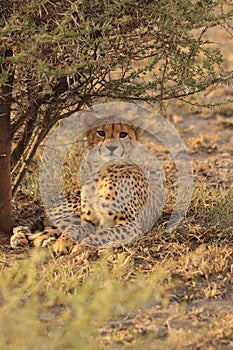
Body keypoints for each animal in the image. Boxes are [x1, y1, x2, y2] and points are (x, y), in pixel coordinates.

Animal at [10, 115, 164, 254]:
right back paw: (26, 238)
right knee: (39, 232)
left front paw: (81, 245)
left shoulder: (130, 224)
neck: (104, 171)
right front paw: (63, 242)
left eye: (123, 134)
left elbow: (104, 233)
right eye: (101, 133)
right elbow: (74, 229)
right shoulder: (88, 220)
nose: (112, 147)